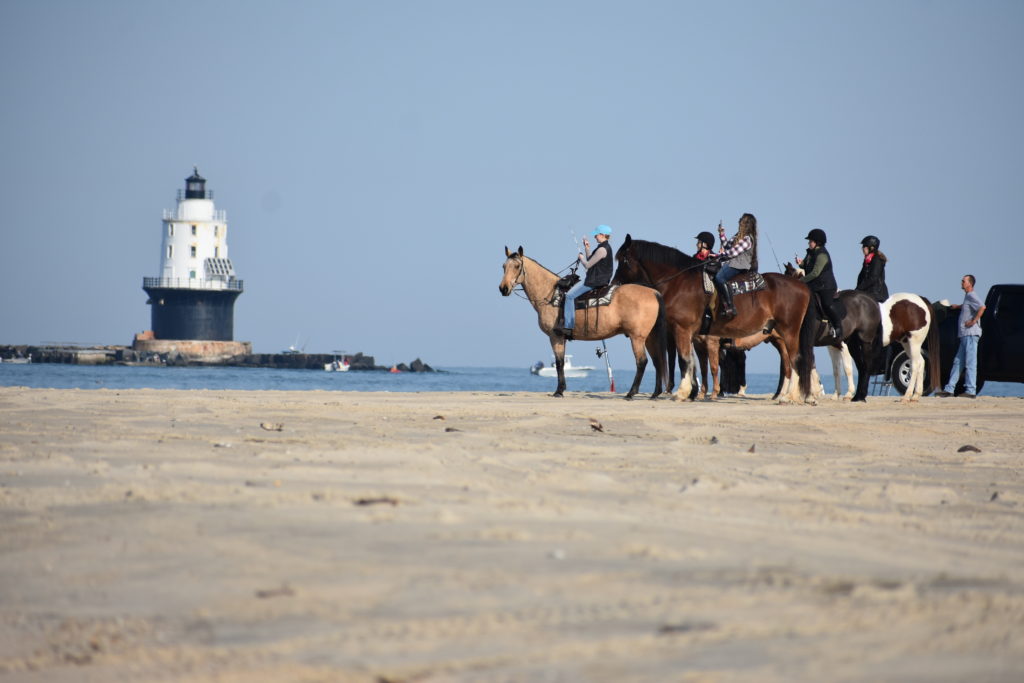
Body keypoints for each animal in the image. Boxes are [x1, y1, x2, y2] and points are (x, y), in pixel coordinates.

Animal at [498, 246, 668, 398]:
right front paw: (561, 389)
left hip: (637, 337)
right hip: (649, 337)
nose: (503, 288)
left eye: (517, 266)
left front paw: (559, 391)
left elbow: (559, 363)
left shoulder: (555, 337)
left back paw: (631, 393)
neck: (551, 294)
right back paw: (655, 393)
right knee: (657, 361)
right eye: (504, 266)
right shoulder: (562, 338)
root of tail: (653, 292)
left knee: (642, 362)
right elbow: (561, 362)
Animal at [614, 236, 815, 403]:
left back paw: (789, 396)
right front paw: (695, 392)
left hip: (789, 331)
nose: (614, 284)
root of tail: (802, 286)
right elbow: (696, 365)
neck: (680, 283)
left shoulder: (683, 330)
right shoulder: (695, 338)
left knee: (795, 360)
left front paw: (683, 393)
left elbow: (686, 361)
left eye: (623, 260)